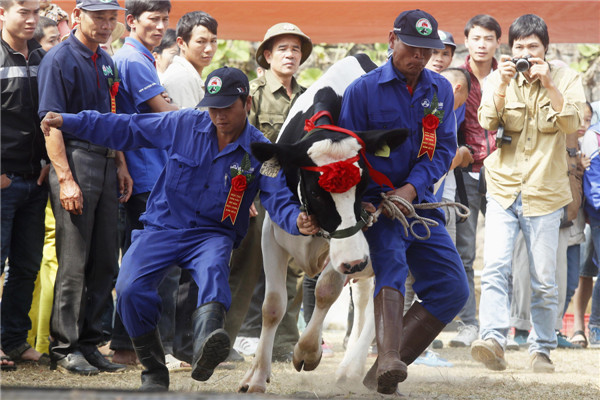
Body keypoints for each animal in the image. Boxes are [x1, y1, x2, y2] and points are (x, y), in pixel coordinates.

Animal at [238, 54, 408, 394]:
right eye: (317, 191)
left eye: (364, 183)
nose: (356, 262)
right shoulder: (271, 235)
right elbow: (272, 305)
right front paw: (257, 377)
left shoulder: (349, 245)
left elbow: (326, 289)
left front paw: (306, 352)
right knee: (365, 297)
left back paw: (353, 367)